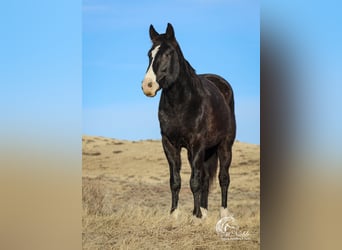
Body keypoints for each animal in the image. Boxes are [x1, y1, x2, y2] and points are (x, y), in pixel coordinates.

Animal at [141, 23, 235, 219]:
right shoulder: (169, 144)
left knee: (223, 178)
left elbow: (195, 181)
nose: (148, 86)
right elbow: (176, 180)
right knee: (205, 177)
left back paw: (223, 214)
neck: (182, 103)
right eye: (149, 54)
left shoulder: (196, 143)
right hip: (204, 151)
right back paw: (205, 212)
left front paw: (195, 217)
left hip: (225, 145)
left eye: (168, 54)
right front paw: (175, 214)